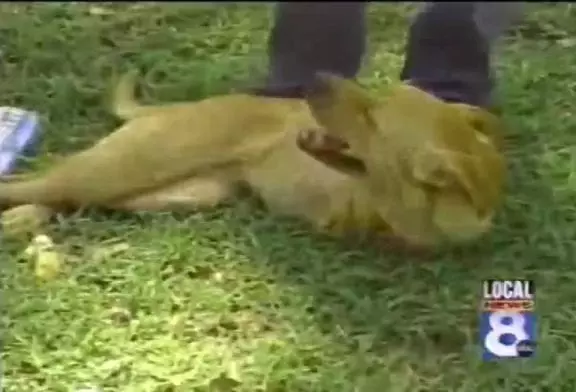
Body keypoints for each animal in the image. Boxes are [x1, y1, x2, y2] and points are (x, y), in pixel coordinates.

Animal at [0, 72, 504, 247]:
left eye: (373, 118)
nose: (313, 82)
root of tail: (171, 109)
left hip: (166, 194)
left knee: (59, 198)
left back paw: (22, 220)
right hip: (120, 169)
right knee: (33, 185)